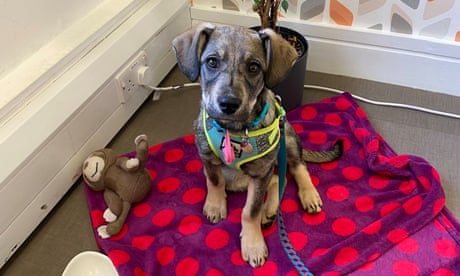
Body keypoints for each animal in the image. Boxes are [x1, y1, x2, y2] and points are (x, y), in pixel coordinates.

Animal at [172, 23, 342, 268]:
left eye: (254, 67)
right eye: (212, 62)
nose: (228, 104)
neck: (233, 131)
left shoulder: (260, 171)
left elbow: (250, 211)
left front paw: (253, 245)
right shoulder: (206, 155)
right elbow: (214, 180)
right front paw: (215, 205)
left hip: (287, 138)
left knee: (296, 168)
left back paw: (307, 196)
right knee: (277, 179)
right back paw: (269, 211)